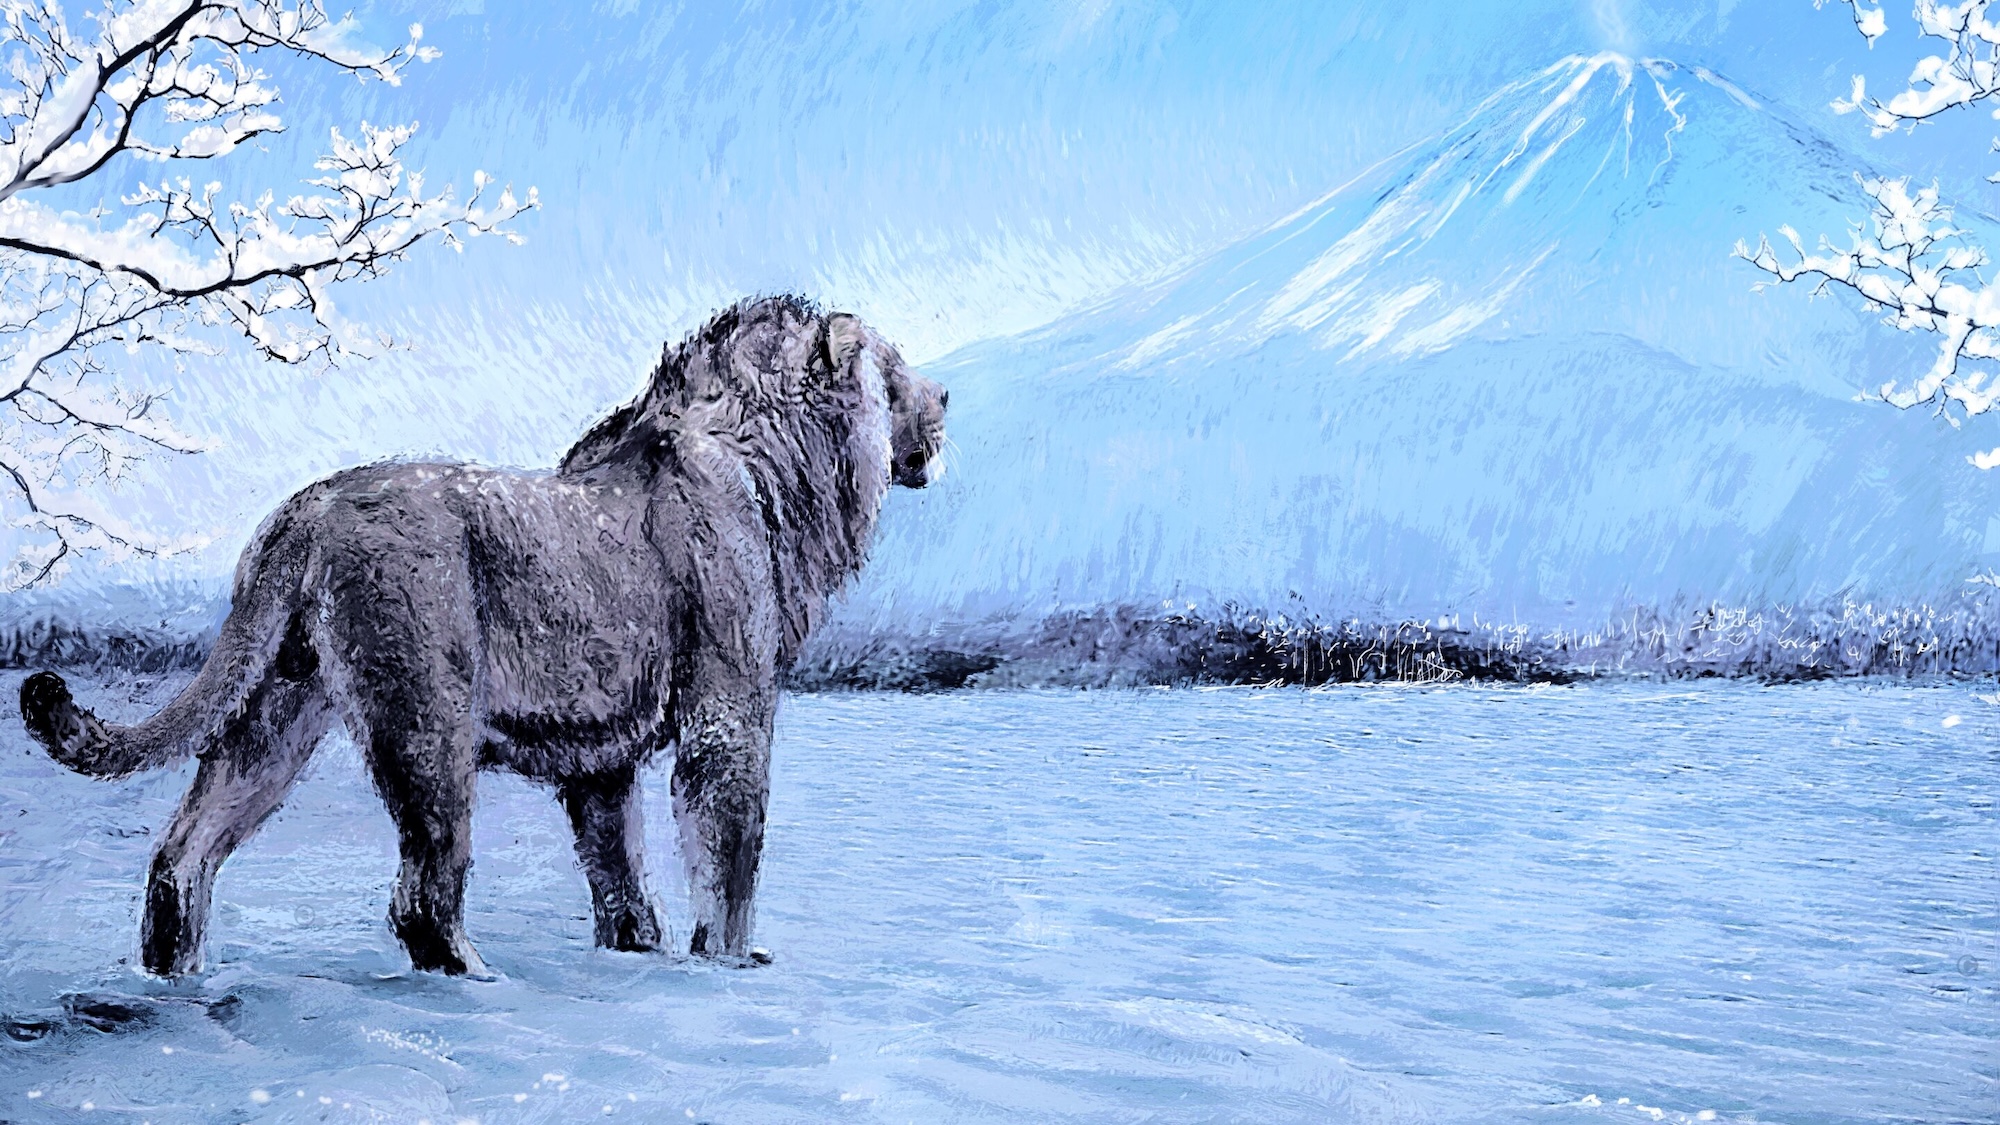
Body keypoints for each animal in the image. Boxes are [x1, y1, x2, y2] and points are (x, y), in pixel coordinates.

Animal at [18, 295, 947, 978]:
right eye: (896, 371)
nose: (946, 404)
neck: (778, 470)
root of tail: (303, 511)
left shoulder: (601, 758)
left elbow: (617, 867)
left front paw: (636, 951)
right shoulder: (728, 708)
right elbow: (730, 846)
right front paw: (731, 960)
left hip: (275, 710)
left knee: (184, 854)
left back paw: (174, 974)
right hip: (427, 717)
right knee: (423, 895)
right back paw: (480, 975)